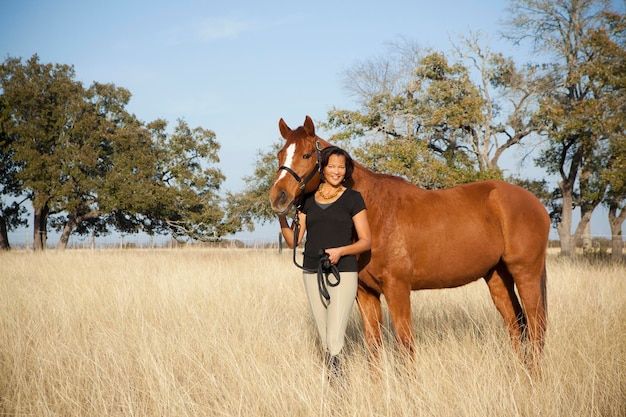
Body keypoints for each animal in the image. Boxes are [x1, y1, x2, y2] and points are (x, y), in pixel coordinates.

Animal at [268, 115, 544, 366]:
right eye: (281, 155)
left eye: (306, 155)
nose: (278, 197)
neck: (374, 212)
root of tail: (534, 202)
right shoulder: (365, 293)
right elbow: (374, 346)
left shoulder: (397, 289)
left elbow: (405, 345)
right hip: (497, 277)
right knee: (516, 327)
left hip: (525, 274)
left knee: (536, 328)